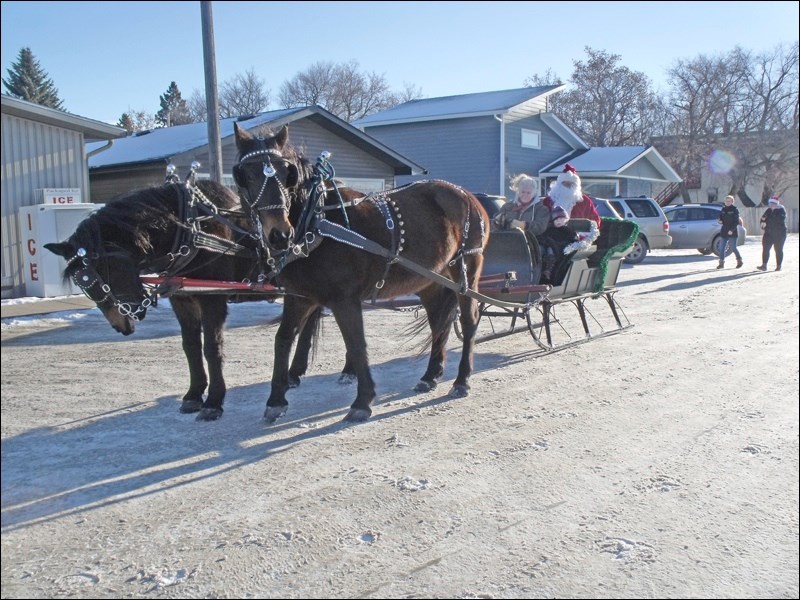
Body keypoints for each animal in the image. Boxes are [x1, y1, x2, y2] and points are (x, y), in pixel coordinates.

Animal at [43, 177, 324, 422]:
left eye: (106, 269)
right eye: (84, 283)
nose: (123, 325)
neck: (192, 231)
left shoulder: (212, 300)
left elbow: (211, 347)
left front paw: (213, 402)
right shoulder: (182, 300)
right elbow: (190, 346)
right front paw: (194, 394)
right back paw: (295, 373)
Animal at [233, 123, 488, 422]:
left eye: (287, 174)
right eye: (247, 175)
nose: (279, 234)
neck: (315, 221)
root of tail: (468, 196)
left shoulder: (345, 300)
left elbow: (356, 345)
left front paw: (362, 401)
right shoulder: (299, 297)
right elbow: (283, 339)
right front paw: (276, 400)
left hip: (466, 270)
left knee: (469, 321)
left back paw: (462, 380)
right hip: (431, 281)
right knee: (440, 322)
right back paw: (430, 375)